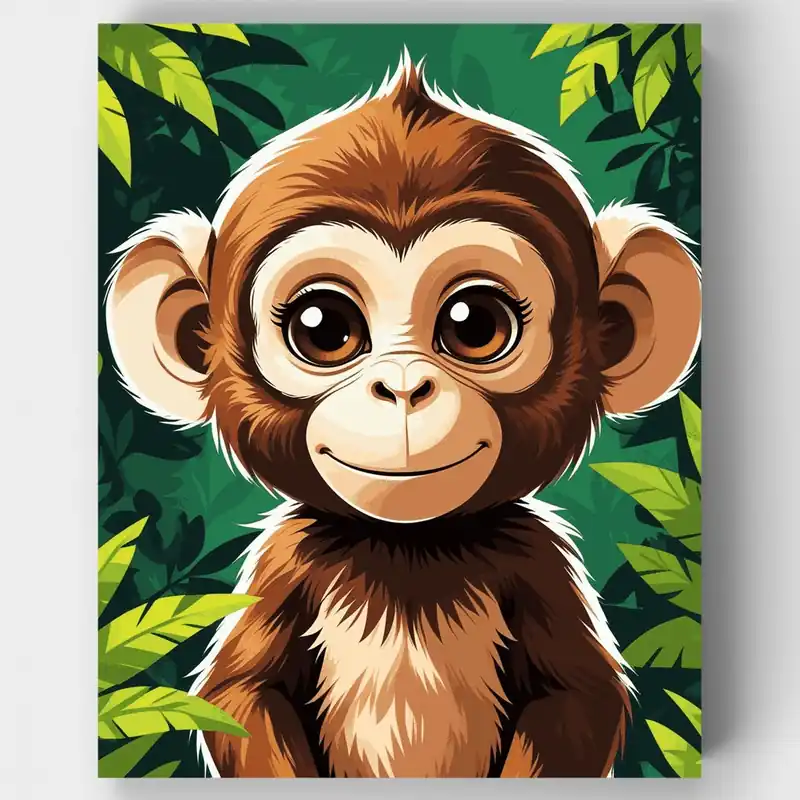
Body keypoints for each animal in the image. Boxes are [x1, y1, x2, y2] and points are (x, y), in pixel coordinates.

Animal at [104, 52, 701, 778]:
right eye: (323, 327)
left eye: (475, 324)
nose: (403, 386)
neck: (409, 551)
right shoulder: (290, 559)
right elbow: (242, 694)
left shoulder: (535, 559)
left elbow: (578, 697)